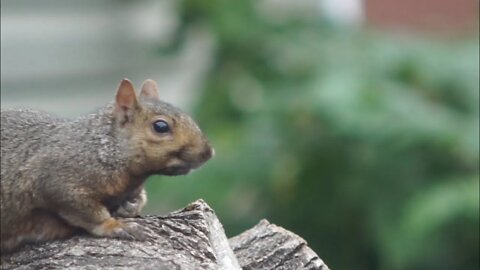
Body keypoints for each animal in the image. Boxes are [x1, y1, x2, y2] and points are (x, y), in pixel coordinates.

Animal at [0, 78, 214, 253]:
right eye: (160, 126)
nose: (208, 152)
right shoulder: (57, 179)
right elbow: (84, 210)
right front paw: (114, 225)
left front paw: (131, 206)